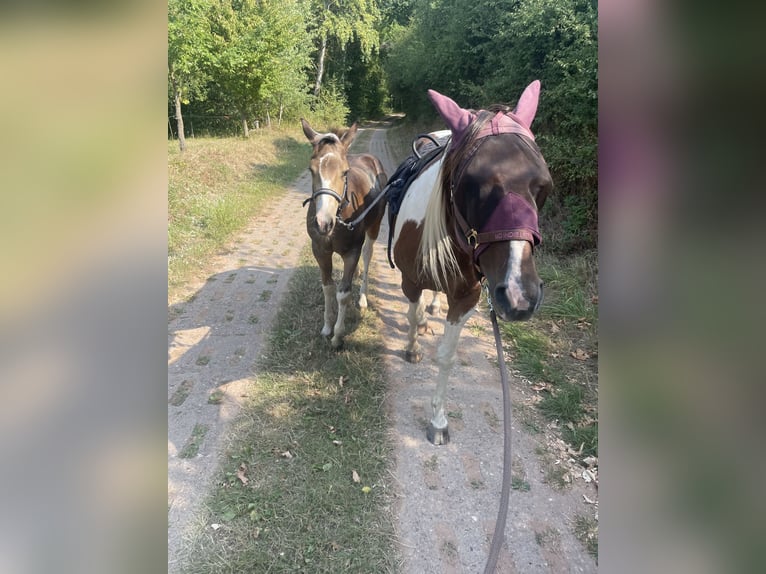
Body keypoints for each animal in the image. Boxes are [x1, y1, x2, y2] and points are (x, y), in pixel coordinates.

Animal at [300, 118, 388, 348]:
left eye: (345, 172)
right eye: (311, 169)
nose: (323, 223)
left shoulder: (351, 252)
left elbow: (343, 294)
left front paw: (338, 336)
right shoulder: (320, 250)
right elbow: (328, 288)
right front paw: (326, 327)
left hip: (374, 228)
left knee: (367, 255)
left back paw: (363, 298)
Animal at [390, 81, 553, 445]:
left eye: (543, 187)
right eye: (473, 184)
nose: (520, 296)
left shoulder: (466, 297)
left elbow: (447, 356)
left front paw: (437, 419)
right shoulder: (410, 282)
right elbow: (411, 315)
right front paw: (412, 346)